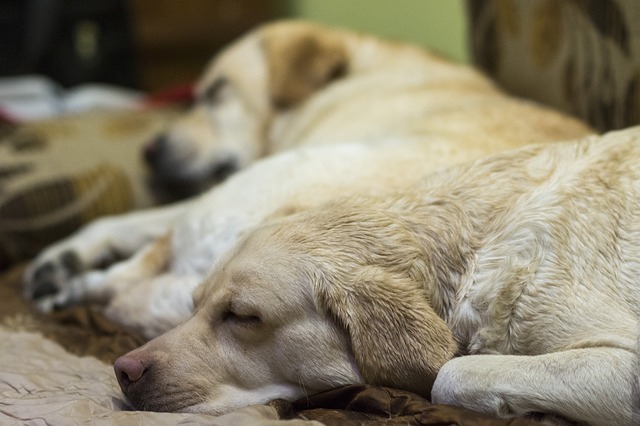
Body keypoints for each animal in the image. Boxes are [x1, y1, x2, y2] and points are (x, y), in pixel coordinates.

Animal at [21, 20, 592, 340]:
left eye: (217, 91)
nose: (149, 149)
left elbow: (131, 224)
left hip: (243, 190)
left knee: (134, 270)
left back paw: (68, 284)